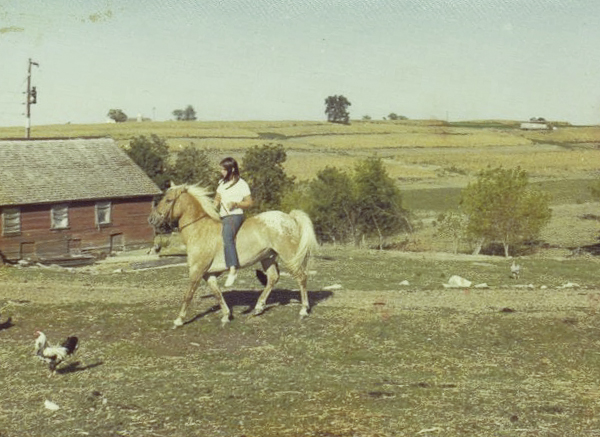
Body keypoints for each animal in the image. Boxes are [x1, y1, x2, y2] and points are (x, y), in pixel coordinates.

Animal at [148, 181, 318, 328]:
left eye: (168, 200)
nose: (152, 219)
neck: (200, 230)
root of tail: (289, 217)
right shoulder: (208, 274)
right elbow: (217, 293)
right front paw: (226, 315)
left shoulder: (196, 272)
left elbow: (188, 295)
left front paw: (178, 320)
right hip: (267, 257)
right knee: (272, 278)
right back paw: (258, 307)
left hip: (289, 256)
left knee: (301, 277)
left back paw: (303, 310)